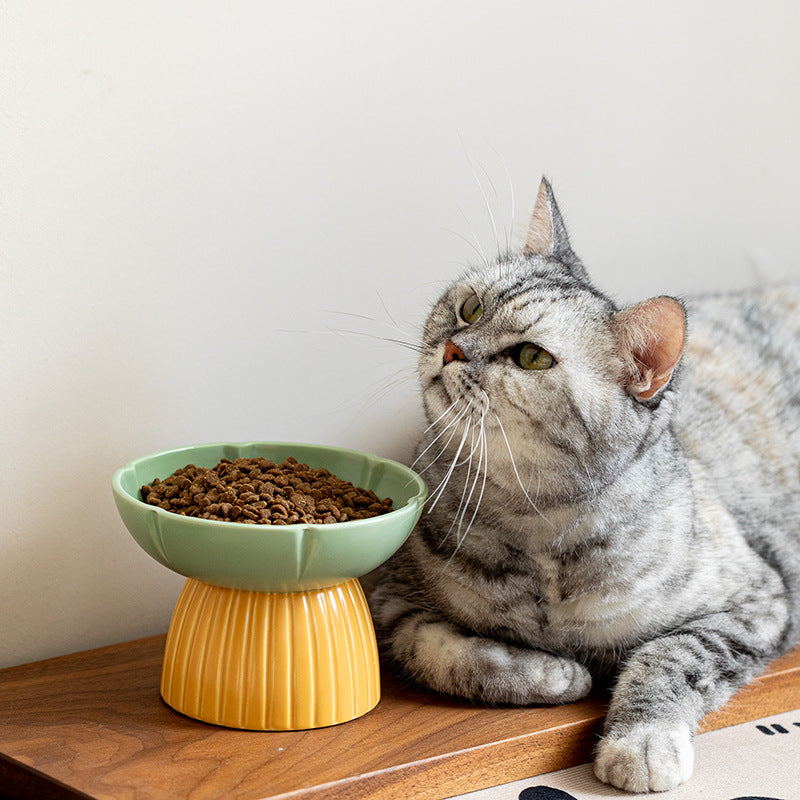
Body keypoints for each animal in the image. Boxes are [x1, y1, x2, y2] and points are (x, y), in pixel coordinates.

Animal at [368, 180, 800, 792]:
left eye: (531, 357)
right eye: (471, 307)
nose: (453, 348)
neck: (537, 526)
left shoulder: (758, 600)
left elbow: (671, 656)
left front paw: (640, 743)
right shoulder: (394, 600)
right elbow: (446, 653)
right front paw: (556, 676)